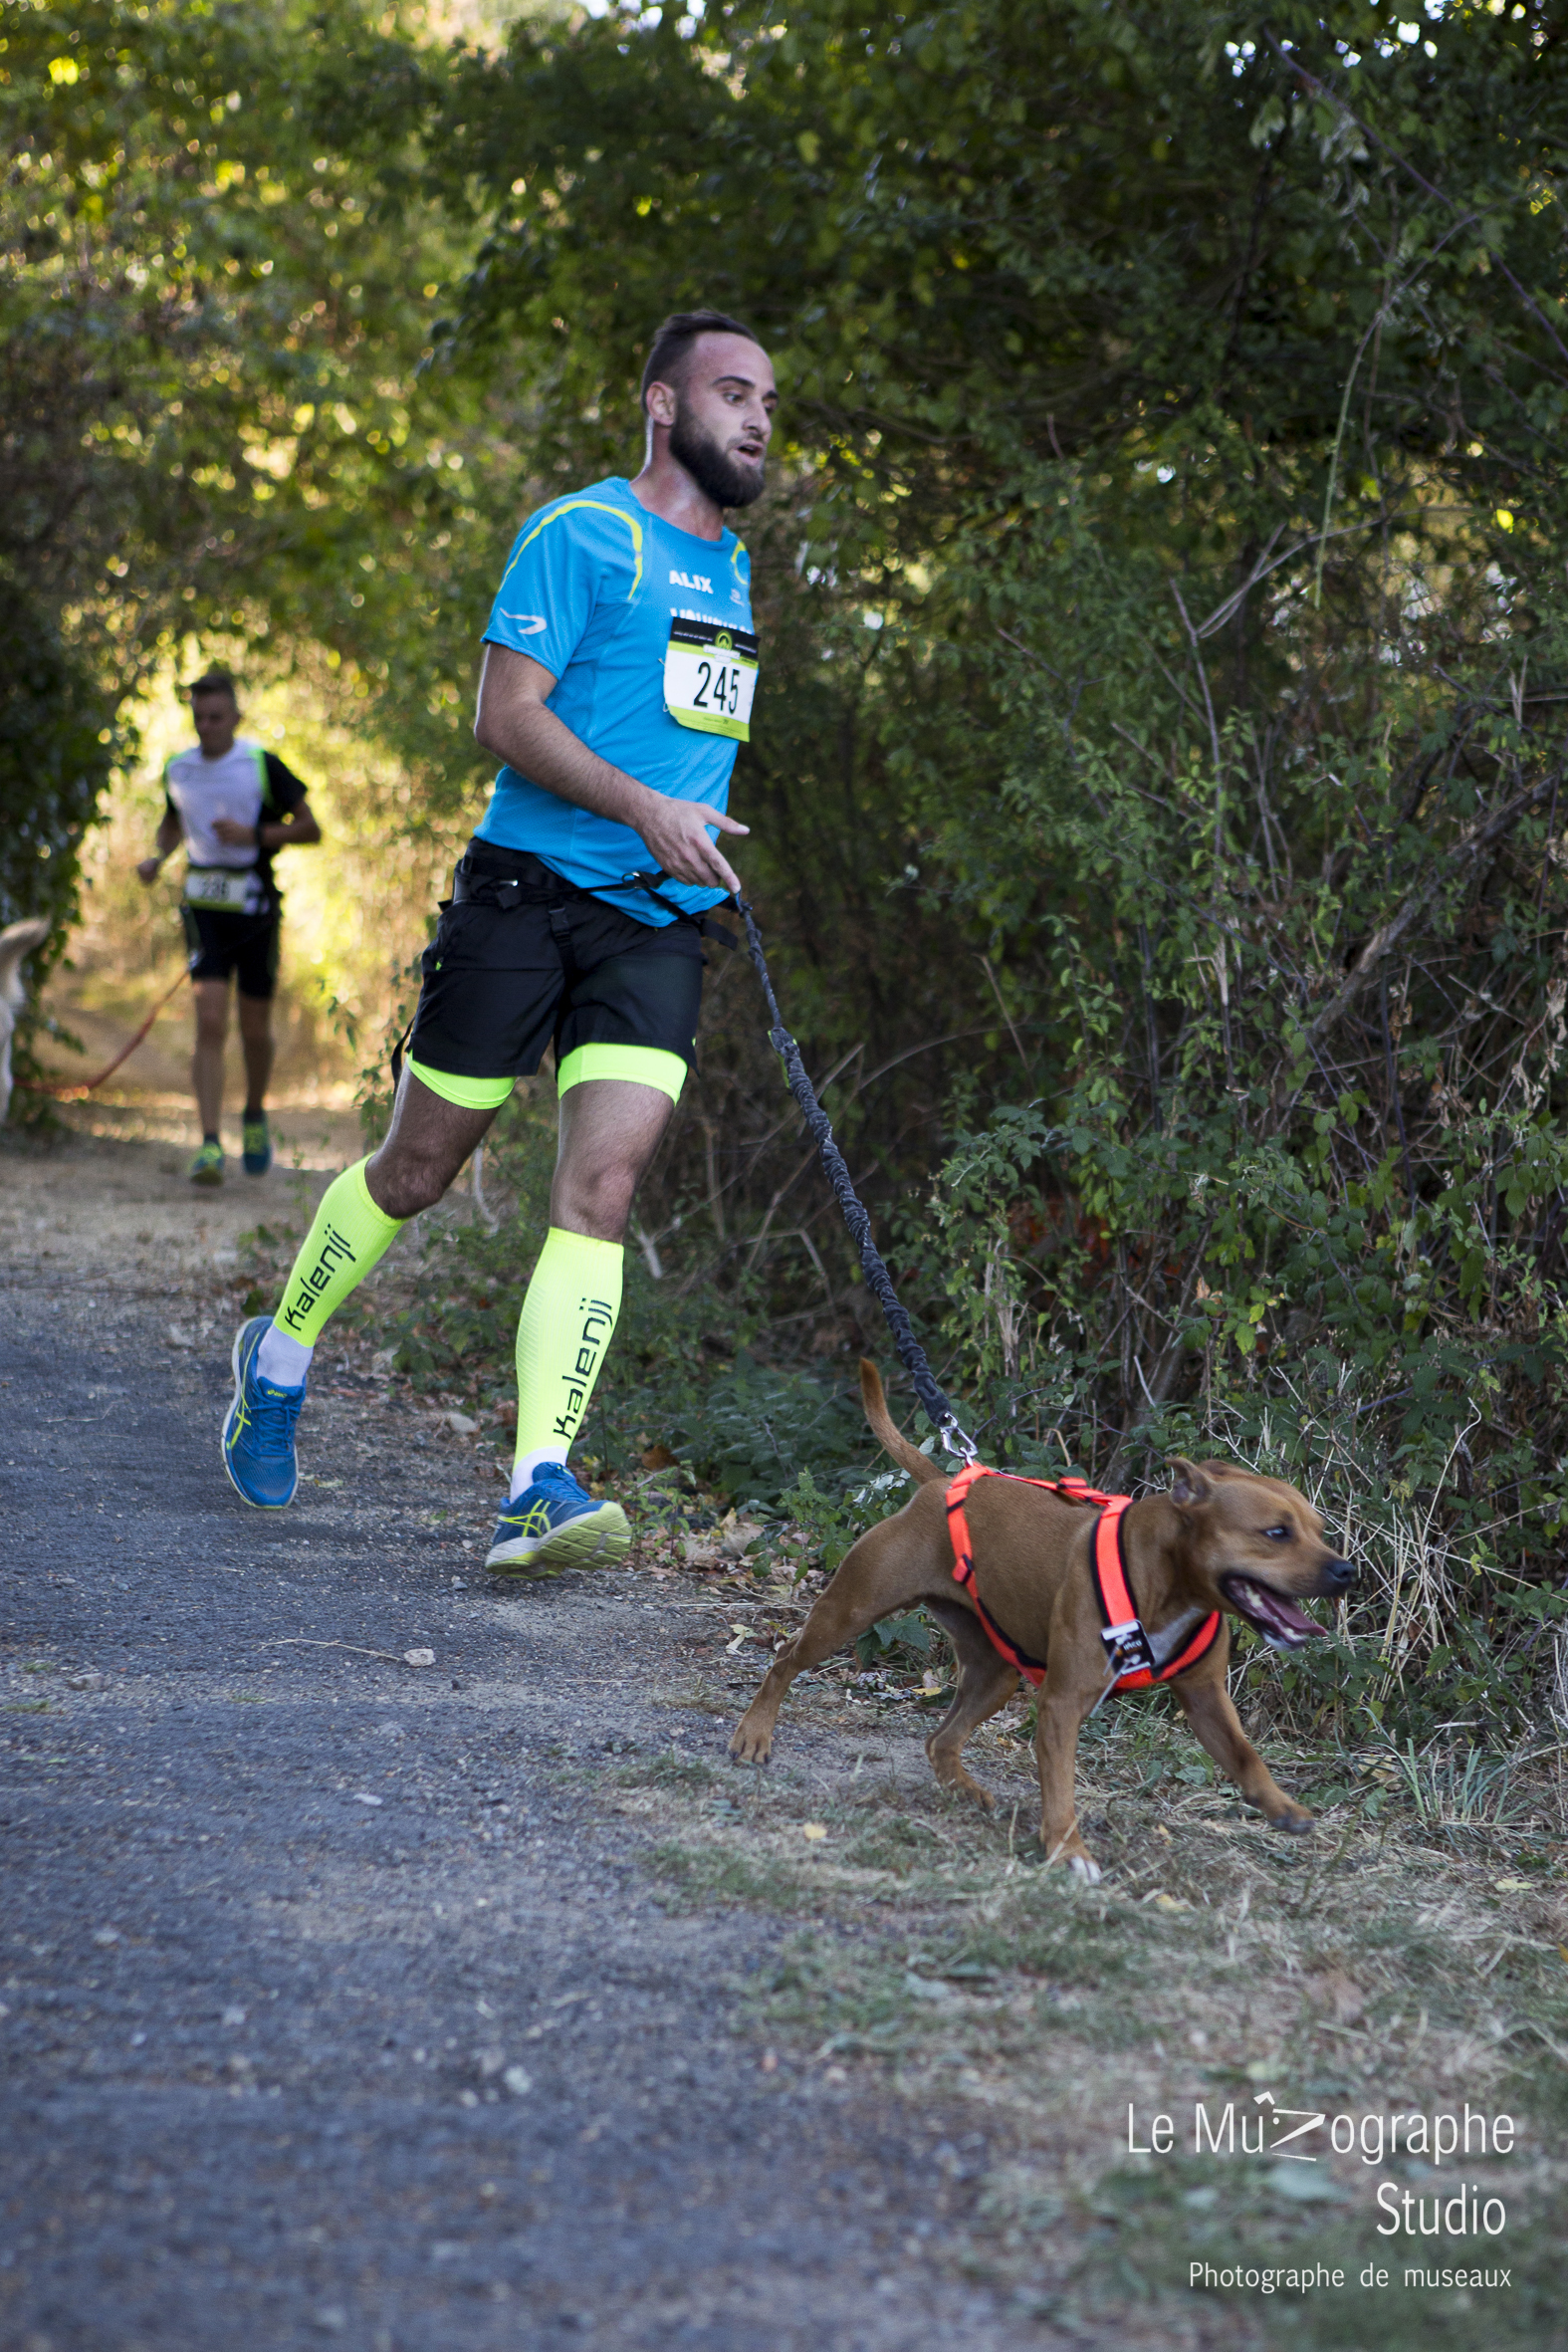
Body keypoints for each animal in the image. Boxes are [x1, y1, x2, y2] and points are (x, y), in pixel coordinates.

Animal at [730, 1362, 1355, 1879]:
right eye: (1276, 1532)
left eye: (1319, 1530)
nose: (1346, 1570)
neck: (1171, 1584)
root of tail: (942, 1482)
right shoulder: (1062, 1704)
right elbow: (1061, 1786)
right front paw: (1068, 1850)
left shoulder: (1206, 1699)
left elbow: (1247, 1755)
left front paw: (1281, 1807)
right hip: (850, 1612)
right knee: (784, 1661)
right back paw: (754, 1735)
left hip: (996, 1673)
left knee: (940, 1738)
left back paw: (963, 1788)